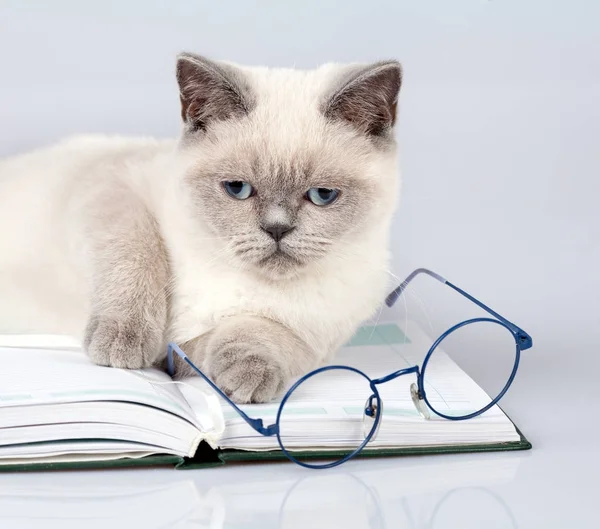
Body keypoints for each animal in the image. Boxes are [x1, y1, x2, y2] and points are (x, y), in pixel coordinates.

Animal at [1, 52, 404, 400]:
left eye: (322, 195)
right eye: (237, 189)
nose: (277, 229)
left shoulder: (305, 336)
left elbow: (255, 333)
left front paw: (246, 376)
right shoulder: (113, 187)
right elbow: (136, 255)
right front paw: (123, 342)